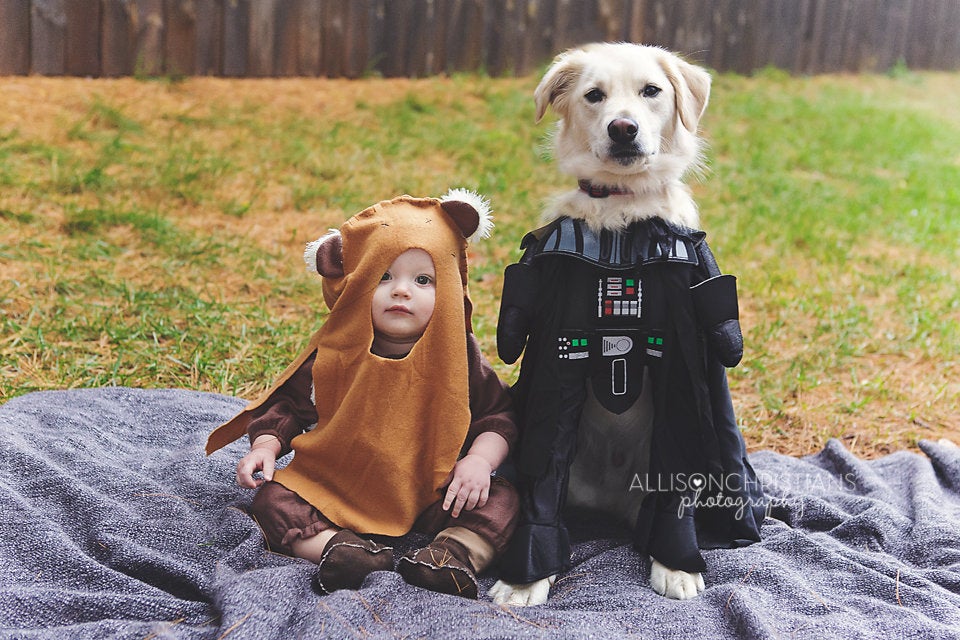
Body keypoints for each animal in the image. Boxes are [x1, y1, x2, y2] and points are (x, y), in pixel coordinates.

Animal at [492, 43, 716, 604]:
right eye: (594, 96)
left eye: (651, 91)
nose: (623, 128)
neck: (623, 213)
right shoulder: (557, 375)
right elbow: (541, 483)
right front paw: (526, 577)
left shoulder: (681, 372)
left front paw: (675, 564)